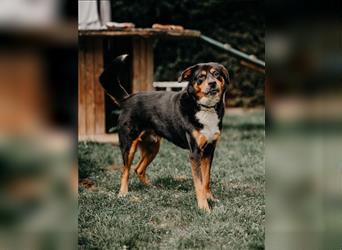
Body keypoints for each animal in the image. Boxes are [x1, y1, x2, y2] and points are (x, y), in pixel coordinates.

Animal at [99, 54, 230, 211]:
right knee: (125, 170)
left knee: (138, 169)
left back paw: (151, 187)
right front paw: (204, 207)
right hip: (129, 145)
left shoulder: (209, 151)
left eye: (217, 74)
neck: (205, 108)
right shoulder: (195, 153)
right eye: (201, 77)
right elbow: (199, 183)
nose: (212, 83)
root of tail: (128, 99)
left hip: (153, 147)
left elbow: (206, 180)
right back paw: (123, 193)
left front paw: (210, 198)